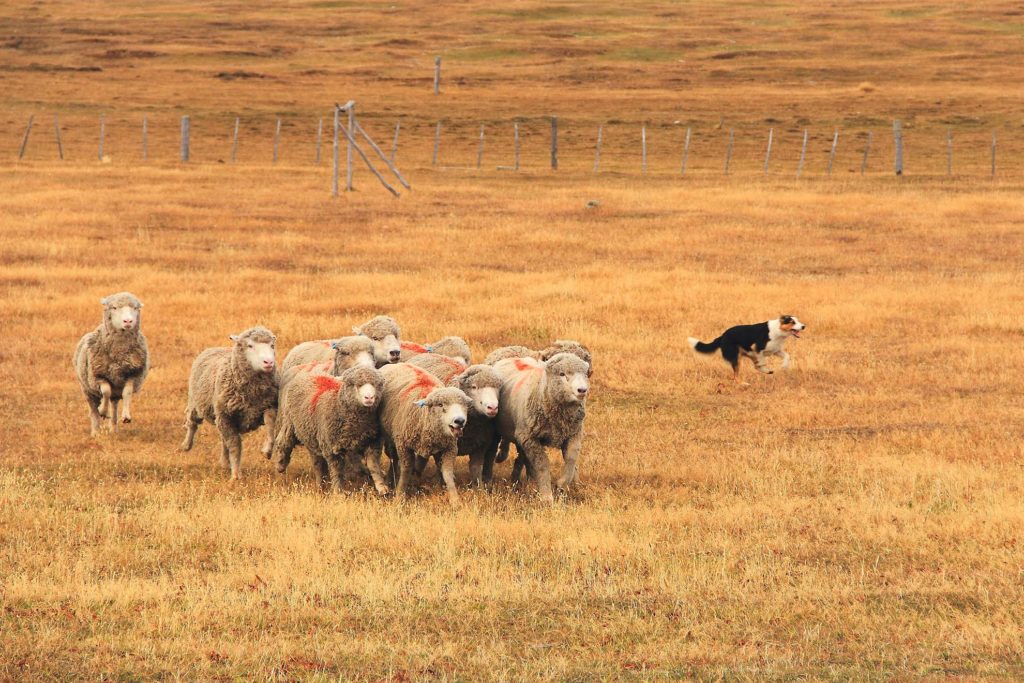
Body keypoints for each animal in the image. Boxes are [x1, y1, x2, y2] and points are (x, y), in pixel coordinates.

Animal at [73, 290, 149, 436]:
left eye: (135, 308)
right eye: (114, 308)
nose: (128, 321)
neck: (119, 354)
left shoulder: (133, 375)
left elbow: (127, 393)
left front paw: (126, 416)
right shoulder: (97, 376)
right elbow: (106, 391)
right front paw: (103, 411)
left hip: (116, 390)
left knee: (114, 406)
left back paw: (113, 428)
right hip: (87, 389)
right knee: (93, 410)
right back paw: (96, 431)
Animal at [178, 327, 278, 481]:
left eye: (272, 346)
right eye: (250, 346)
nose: (268, 362)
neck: (252, 391)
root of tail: (214, 348)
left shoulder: (267, 405)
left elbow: (271, 425)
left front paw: (267, 450)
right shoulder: (226, 416)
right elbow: (235, 445)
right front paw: (236, 475)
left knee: (223, 439)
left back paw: (225, 463)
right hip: (196, 403)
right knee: (192, 423)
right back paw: (186, 445)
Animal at [378, 366, 468, 505]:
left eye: (464, 405)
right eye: (440, 405)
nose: (459, 421)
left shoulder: (450, 448)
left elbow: (447, 473)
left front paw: (454, 499)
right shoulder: (403, 445)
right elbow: (406, 470)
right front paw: (399, 496)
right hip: (391, 439)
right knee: (394, 460)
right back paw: (391, 480)